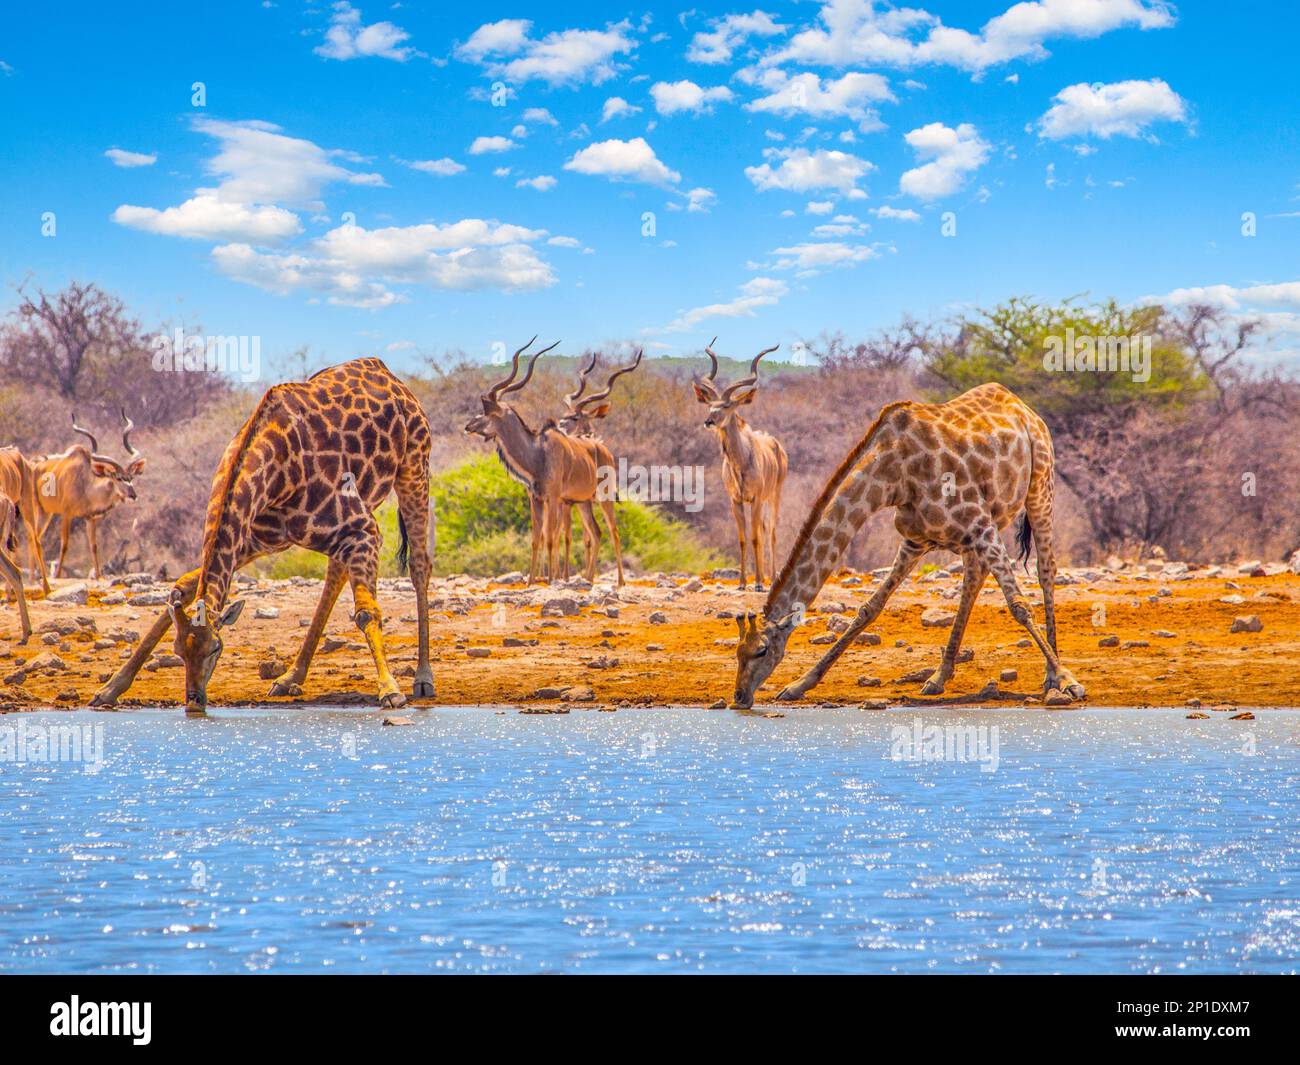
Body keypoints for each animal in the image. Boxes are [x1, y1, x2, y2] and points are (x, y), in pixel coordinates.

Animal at [94, 361, 436, 717]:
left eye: (216, 647)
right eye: (177, 651)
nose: (194, 702)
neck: (272, 470)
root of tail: (385, 371)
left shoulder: (363, 529)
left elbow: (367, 612)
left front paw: (391, 691)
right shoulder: (251, 538)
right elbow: (184, 587)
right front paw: (110, 688)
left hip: (414, 470)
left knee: (419, 565)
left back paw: (423, 679)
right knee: (336, 573)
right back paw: (290, 677)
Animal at [696, 340, 785, 590]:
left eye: (727, 405)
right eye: (710, 405)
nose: (709, 421)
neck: (741, 461)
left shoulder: (755, 499)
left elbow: (755, 538)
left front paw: (759, 583)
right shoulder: (735, 500)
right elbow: (743, 538)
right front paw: (743, 582)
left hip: (774, 496)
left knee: (771, 532)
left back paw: (771, 578)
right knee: (764, 531)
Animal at [733, 382, 1086, 707]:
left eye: (762, 650)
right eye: (738, 652)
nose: (739, 696)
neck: (893, 476)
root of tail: (1023, 407)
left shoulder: (979, 525)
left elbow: (1019, 605)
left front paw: (1068, 680)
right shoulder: (917, 540)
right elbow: (869, 608)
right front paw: (799, 684)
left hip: (1039, 488)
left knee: (1045, 570)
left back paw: (1051, 676)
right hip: (989, 522)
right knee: (974, 579)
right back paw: (939, 676)